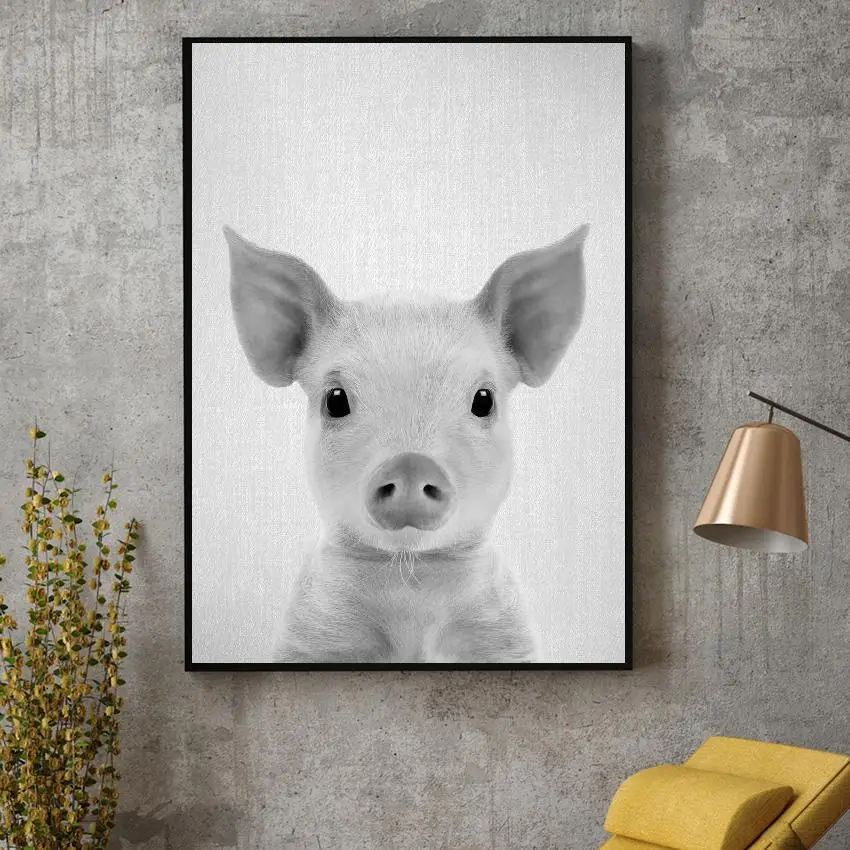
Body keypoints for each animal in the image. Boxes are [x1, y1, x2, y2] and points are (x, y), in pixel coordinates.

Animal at [225, 223, 588, 663]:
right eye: (336, 400)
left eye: (484, 400)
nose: (411, 464)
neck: (411, 581)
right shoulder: (309, 633)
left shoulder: (505, 635)